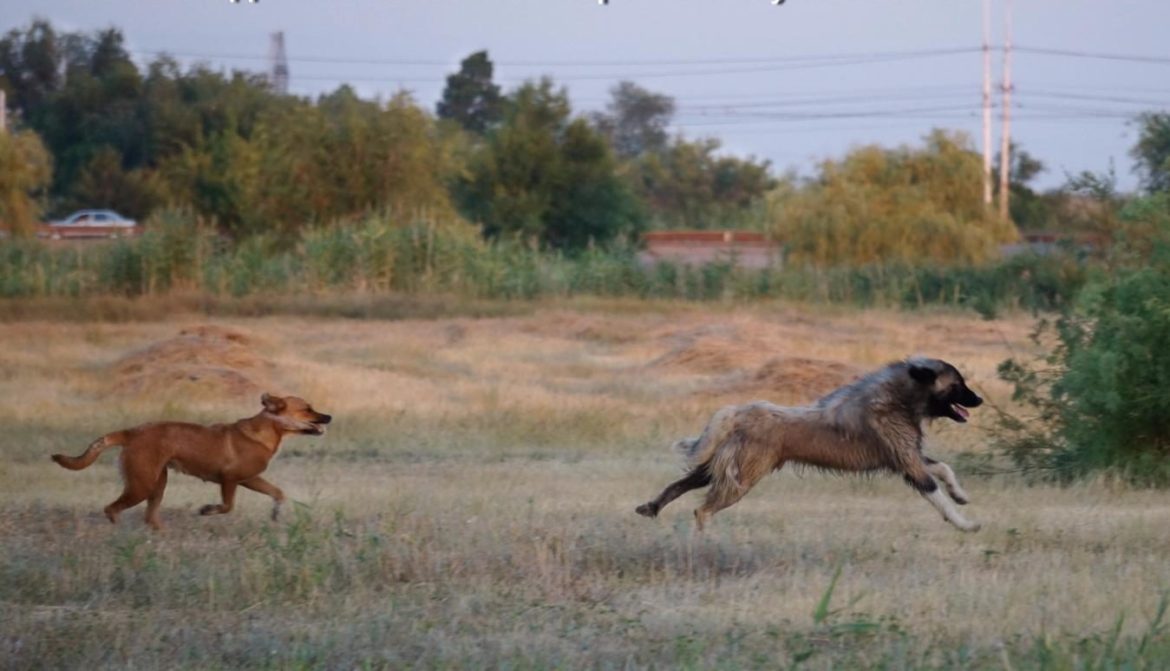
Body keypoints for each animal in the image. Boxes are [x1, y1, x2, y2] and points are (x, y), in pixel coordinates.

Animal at [52, 395, 329, 530]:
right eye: (307, 409)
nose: (329, 417)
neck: (269, 430)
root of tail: (131, 432)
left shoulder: (250, 478)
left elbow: (278, 493)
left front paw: (276, 513)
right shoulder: (230, 479)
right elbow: (227, 506)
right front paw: (207, 510)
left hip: (157, 485)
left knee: (149, 517)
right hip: (141, 485)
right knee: (112, 509)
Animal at [636, 360, 982, 533]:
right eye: (958, 384)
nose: (979, 399)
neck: (899, 396)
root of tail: (741, 412)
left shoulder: (908, 455)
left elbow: (944, 468)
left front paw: (961, 495)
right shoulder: (909, 464)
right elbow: (938, 496)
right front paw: (965, 524)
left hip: (719, 470)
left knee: (678, 485)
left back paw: (650, 508)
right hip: (740, 481)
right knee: (702, 509)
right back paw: (703, 539)